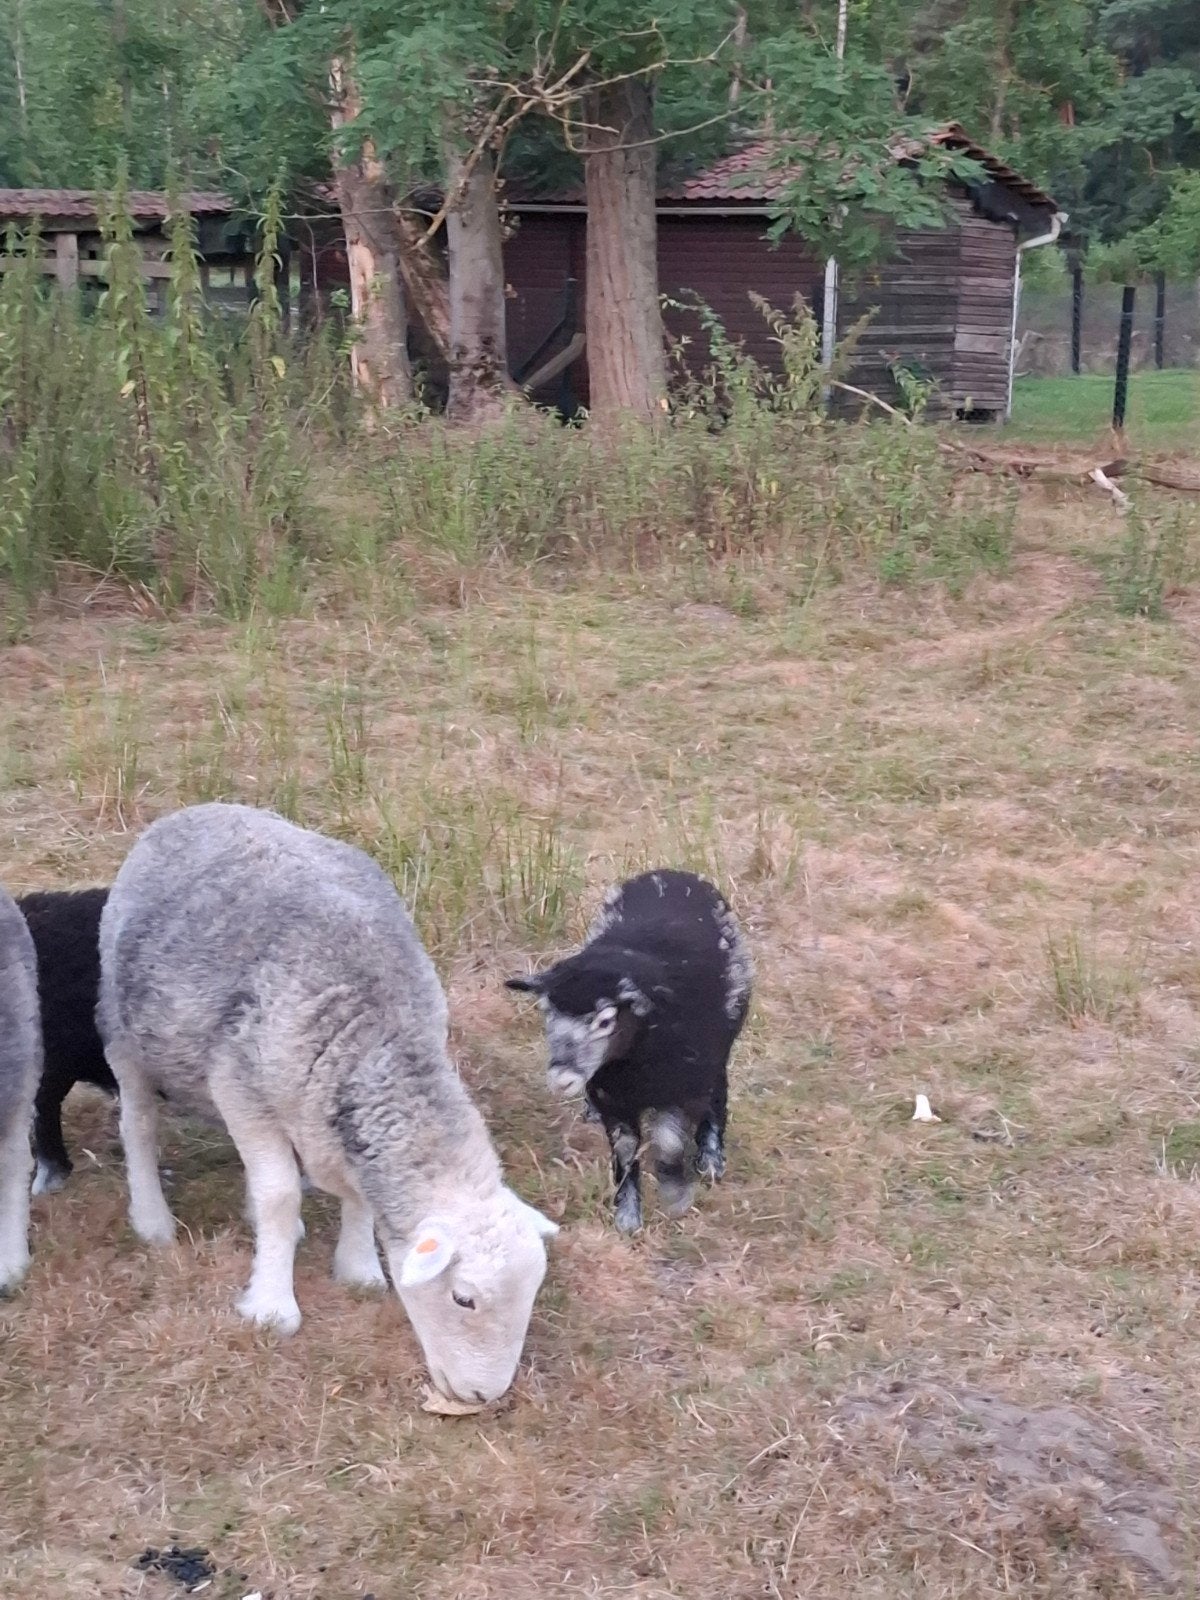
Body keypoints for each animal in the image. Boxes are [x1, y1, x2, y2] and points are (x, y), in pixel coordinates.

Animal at [98, 801, 558, 1406]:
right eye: (463, 1298)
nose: (485, 1397)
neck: (379, 1037)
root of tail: (199, 809)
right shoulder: (240, 1088)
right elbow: (277, 1195)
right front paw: (271, 1307)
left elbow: (352, 1196)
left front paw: (358, 1267)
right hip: (124, 1031)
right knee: (139, 1126)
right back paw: (152, 1219)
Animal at [507, 868, 752, 1233]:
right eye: (546, 1011)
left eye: (606, 1020)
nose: (562, 1078)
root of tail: (672, 872)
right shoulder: (613, 1099)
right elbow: (625, 1151)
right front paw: (627, 1214)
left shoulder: (682, 1087)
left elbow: (668, 1143)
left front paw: (676, 1194)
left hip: (719, 1047)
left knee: (718, 1090)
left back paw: (710, 1156)